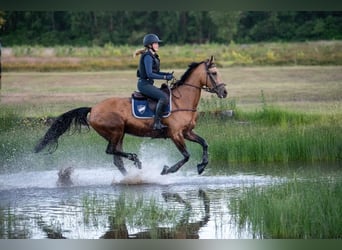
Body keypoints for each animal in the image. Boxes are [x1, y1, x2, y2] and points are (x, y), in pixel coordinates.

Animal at [34, 55, 227, 176]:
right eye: (214, 73)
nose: (224, 92)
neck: (183, 101)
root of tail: (93, 108)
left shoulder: (187, 132)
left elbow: (204, 143)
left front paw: (202, 166)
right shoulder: (176, 134)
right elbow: (186, 155)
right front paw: (167, 170)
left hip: (119, 134)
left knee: (117, 159)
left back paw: (130, 176)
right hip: (116, 131)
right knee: (111, 151)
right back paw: (136, 160)